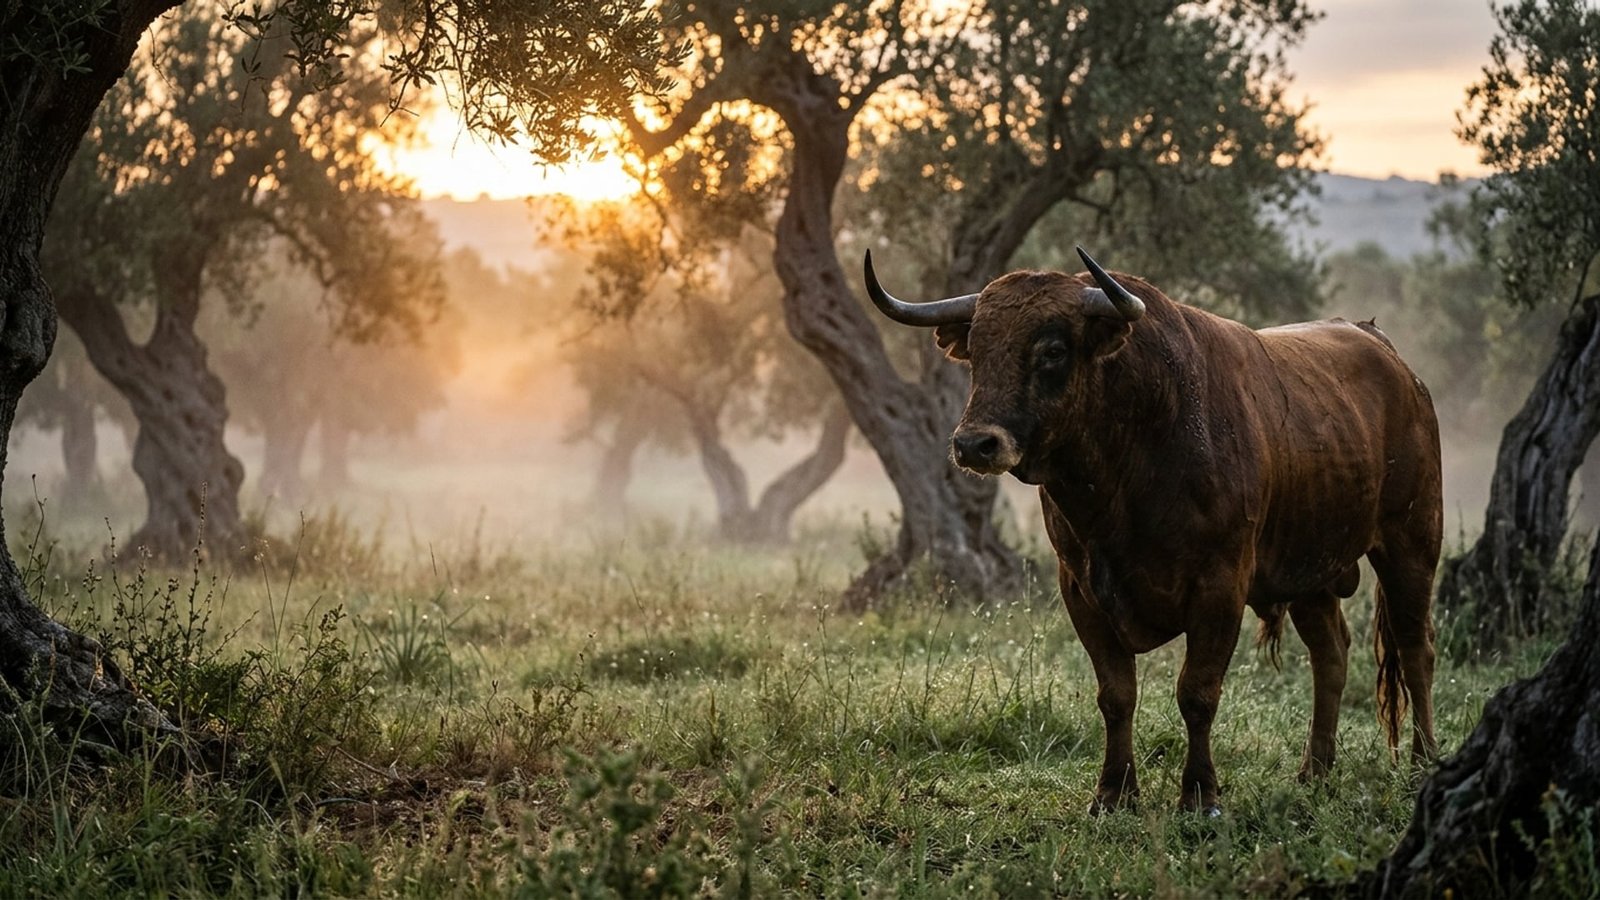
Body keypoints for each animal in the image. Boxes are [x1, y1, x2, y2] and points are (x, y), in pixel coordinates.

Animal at [864, 247, 1441, 816]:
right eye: (979, 349)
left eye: (1053, 349)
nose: (975, 444)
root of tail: (1393, 361)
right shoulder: (1081, 590)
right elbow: (1116, 695)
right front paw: (1113, 792)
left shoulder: (1220, 587)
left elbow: (1197, 693)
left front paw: (1201, 794)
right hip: (1311, 572)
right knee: (1332, 654)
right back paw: (1315, 770)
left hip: (1412, 545)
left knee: (1416, 650)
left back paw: (1423, 762)